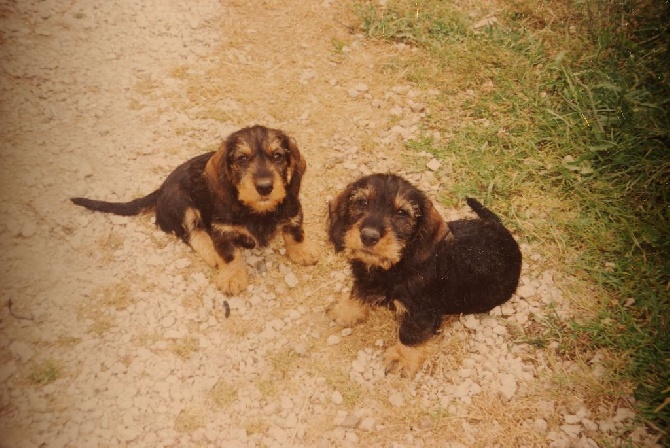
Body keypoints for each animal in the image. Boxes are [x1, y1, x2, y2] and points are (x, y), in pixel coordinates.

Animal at [71, 124, 320, 296]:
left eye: (278, 156)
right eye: (242, 158)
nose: (265, 187)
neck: (257, 210)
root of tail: (161, 189)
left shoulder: (293, 210)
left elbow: (296, 233)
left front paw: (302, 251)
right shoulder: (221, 230)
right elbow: (229, 254)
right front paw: (232, 276)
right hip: (182, 203)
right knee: (192, 233)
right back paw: (210, 252)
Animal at [328, 173, 524, 376]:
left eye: (401, 213)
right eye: (362, 202)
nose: (368, 236)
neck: (396, 265)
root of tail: (502, 230)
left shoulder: (421, 311)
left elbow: (410, 332)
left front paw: (402, 358)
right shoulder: (365, 280)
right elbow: (357, 291)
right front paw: (345, 310)